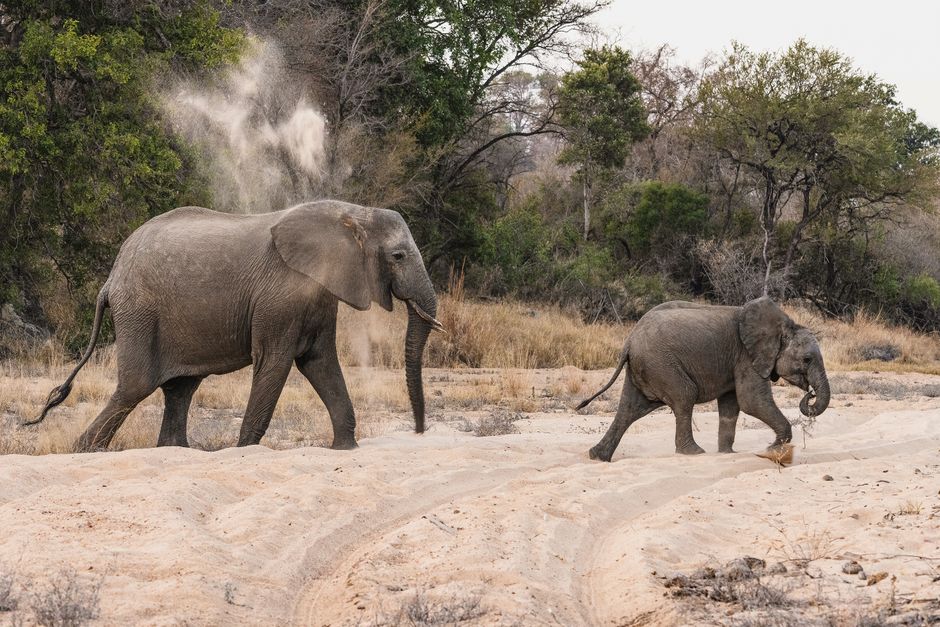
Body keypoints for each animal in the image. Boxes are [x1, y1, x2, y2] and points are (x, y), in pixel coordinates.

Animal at [27, 200, 443, 452]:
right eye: (398, 256)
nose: (420, 430)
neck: (353, 212)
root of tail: (111, 278)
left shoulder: (318, 294)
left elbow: (319, 362)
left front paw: (346, 449)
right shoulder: (280, 295)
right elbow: (276, 361)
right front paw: (245, 451)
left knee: (180, 388)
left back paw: (174, 450)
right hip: (139, 311)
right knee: (136, 386)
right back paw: (83, 451)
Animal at [576, 297, 830, 462]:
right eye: (807, 359)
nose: (810, 393)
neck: (784, 325)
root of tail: (629, 341)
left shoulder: (736, 361)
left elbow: (732, 406)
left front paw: (728, 454)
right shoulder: (746, 356)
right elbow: (752, 401)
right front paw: (773, 450)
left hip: (645, 367)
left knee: (629, 409)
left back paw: (597, 457)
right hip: (661, 364)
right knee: (683, 397)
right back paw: (693, 452)